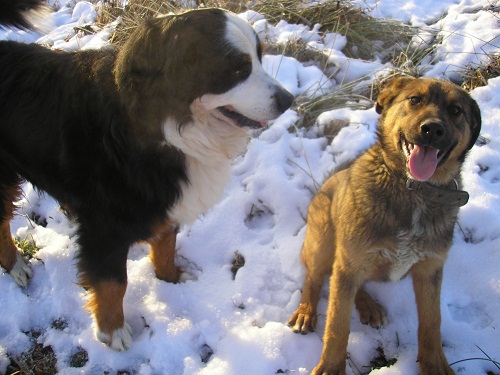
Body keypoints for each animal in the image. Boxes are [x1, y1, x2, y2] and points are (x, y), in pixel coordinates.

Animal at [0, 1, 292, 352]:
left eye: (260, 57)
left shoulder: (164, 202)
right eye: (238, 68)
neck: (167, 130)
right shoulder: (104, 226)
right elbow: (113, 282)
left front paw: (172, 279)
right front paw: (113, 330)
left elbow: (165, 245)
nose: (289, 100)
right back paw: (15, 265)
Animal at [290, 77, 480, 375]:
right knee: (319, 276)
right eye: (415, 100)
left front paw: (435, 364)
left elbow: (432, 322)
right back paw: (307, 311)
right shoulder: (350, 262)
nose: (432, 129)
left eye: (456, 110)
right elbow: (337, 325)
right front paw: (331, 366)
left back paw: (367, 304)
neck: (414, 189)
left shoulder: (429, 269)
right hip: (324, 240)